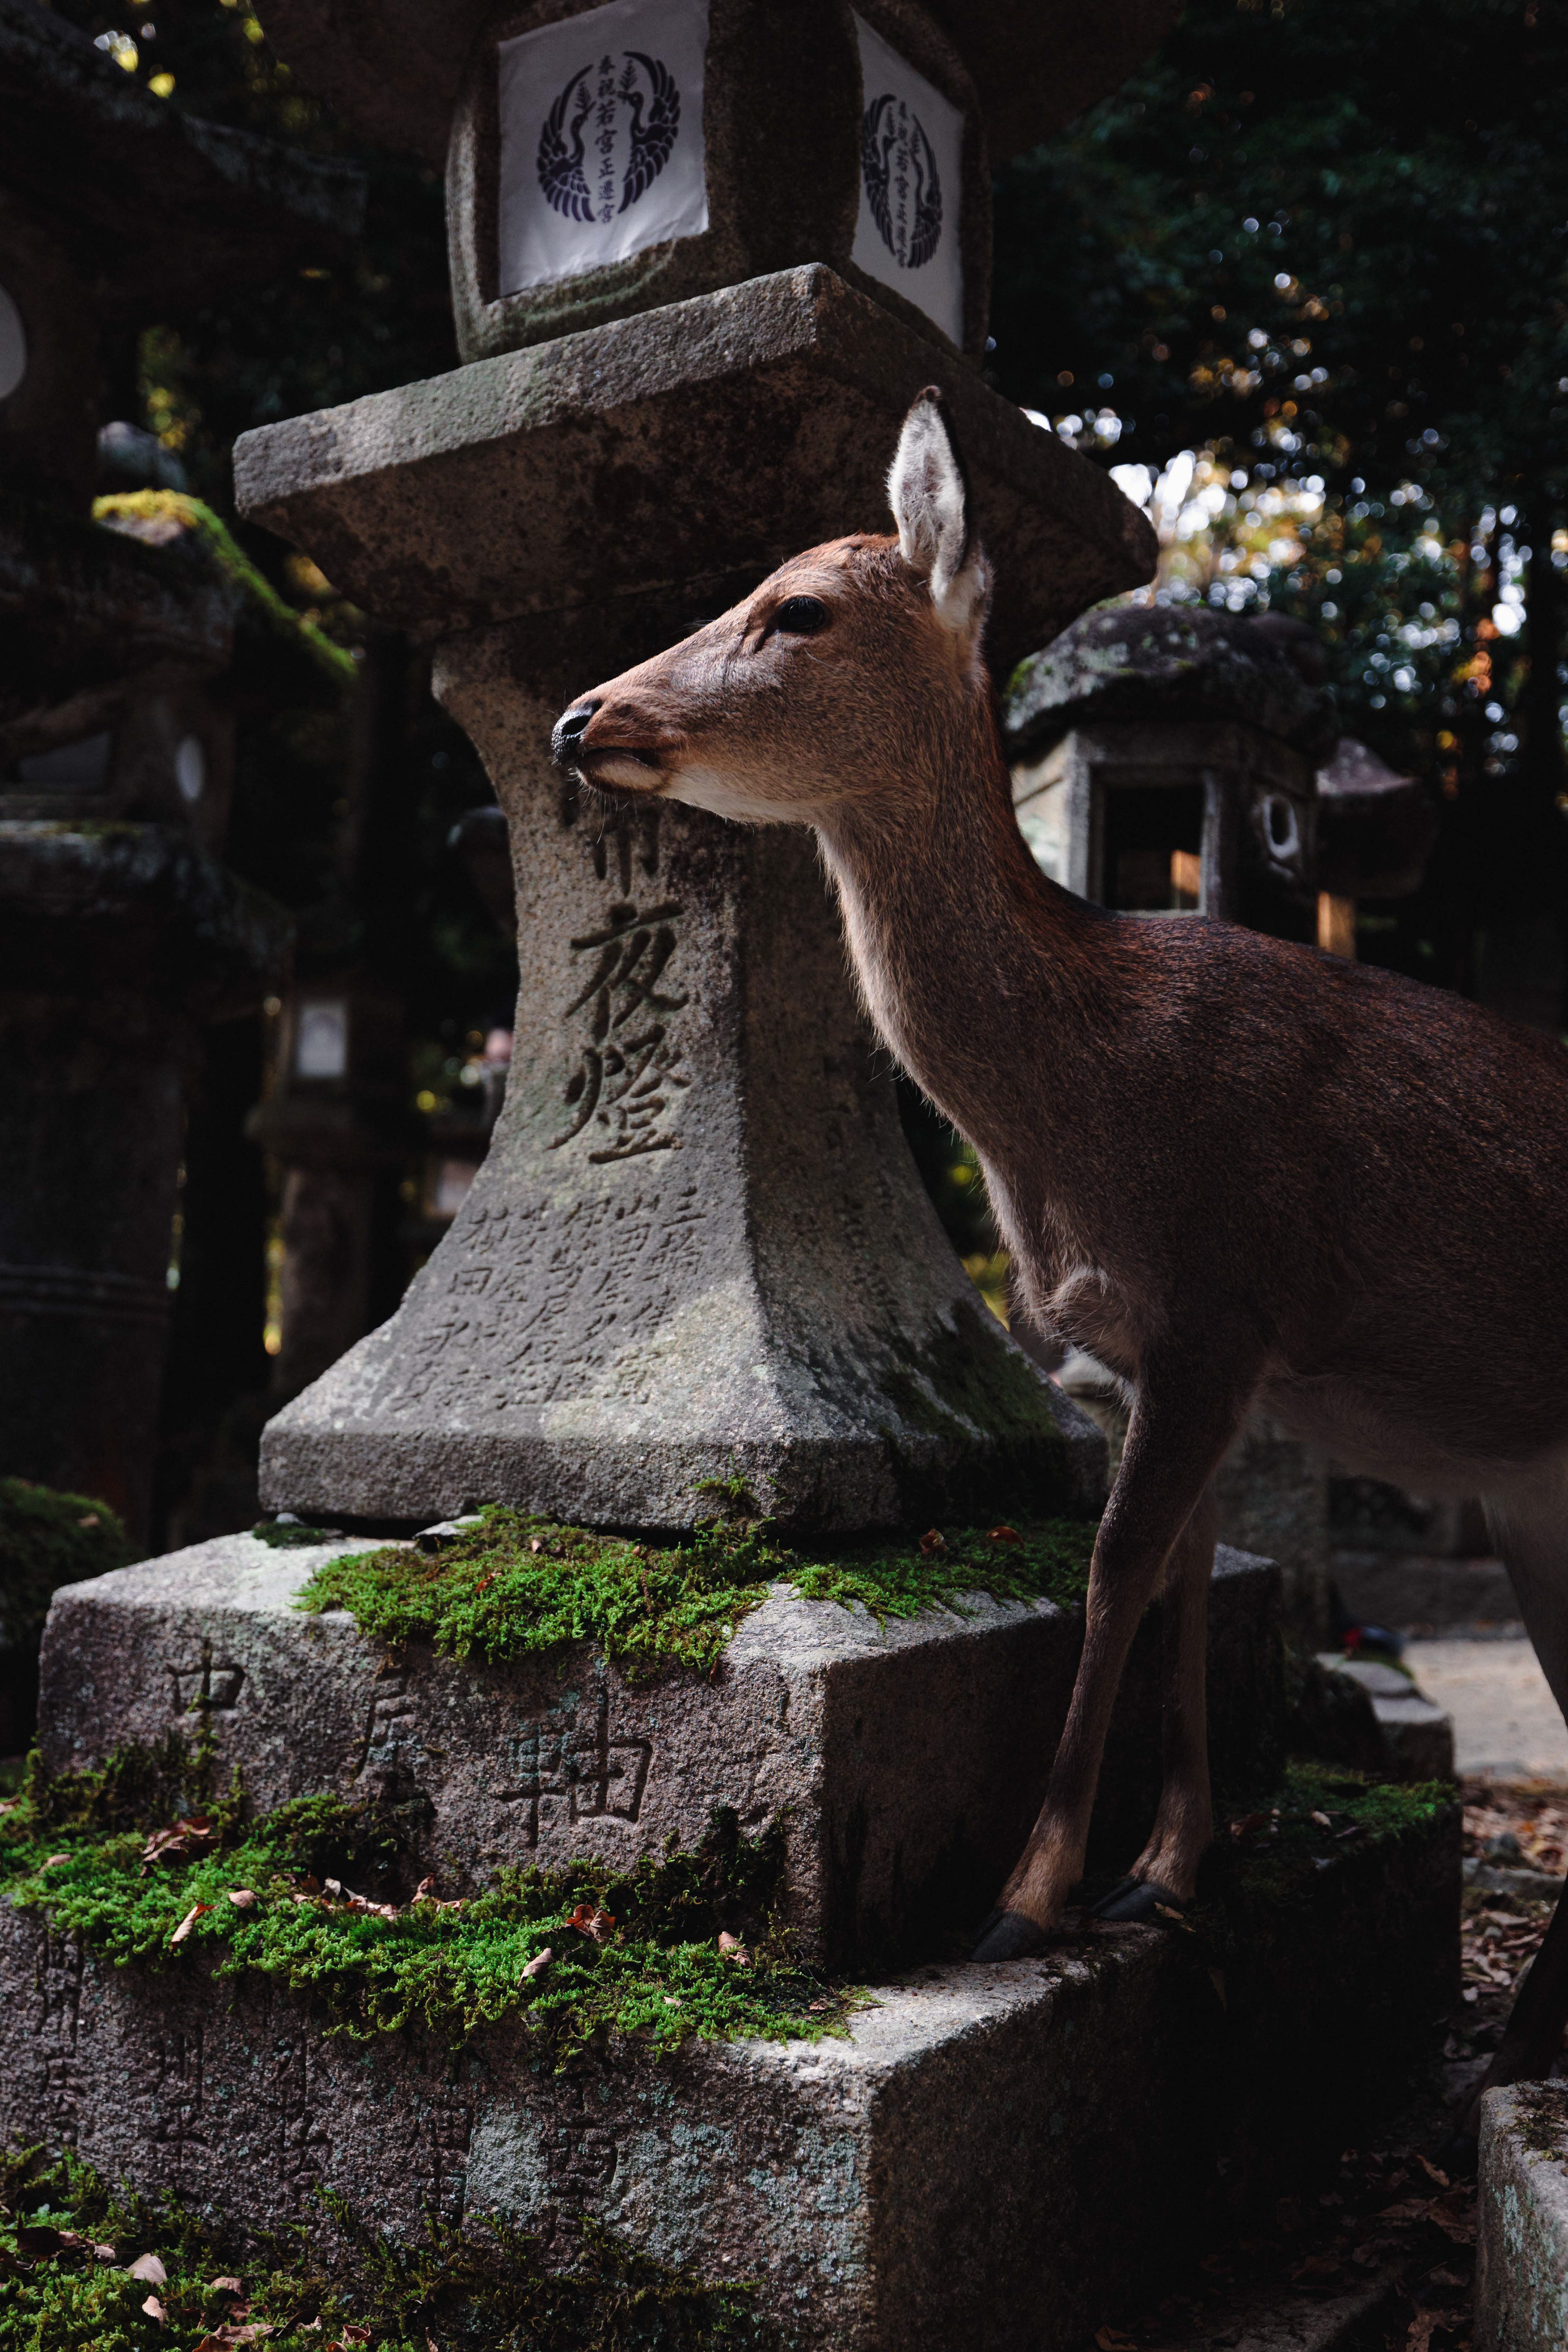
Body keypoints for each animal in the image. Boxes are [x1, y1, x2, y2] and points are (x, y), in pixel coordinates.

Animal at [551, 386, 1568, 2135]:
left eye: (798, 610)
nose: (577, 714)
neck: (1090, 1115)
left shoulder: (1225, 1300)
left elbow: (1107, 1569)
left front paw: (1024, 1894)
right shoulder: (1168, 1355)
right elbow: (1180, 1578)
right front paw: (1167, 1869)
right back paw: (1515, 2043)